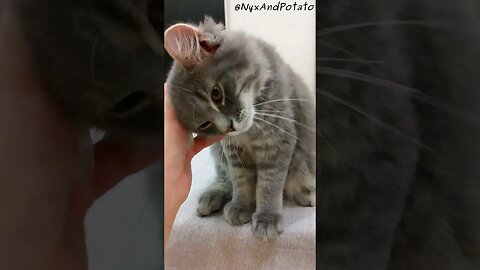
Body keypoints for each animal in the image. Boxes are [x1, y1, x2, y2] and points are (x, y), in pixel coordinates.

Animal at [164, 17, 316, 240]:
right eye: (205, 124)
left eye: (216, 94)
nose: (228, 128)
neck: (249, 133)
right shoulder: (232, 151)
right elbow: (240, 181)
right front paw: (241, 206)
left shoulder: (277, 142)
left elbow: (268, 185)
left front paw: (267, 218)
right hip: (218, 152)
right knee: (224, 178)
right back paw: (212, 196)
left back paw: (307, 193)